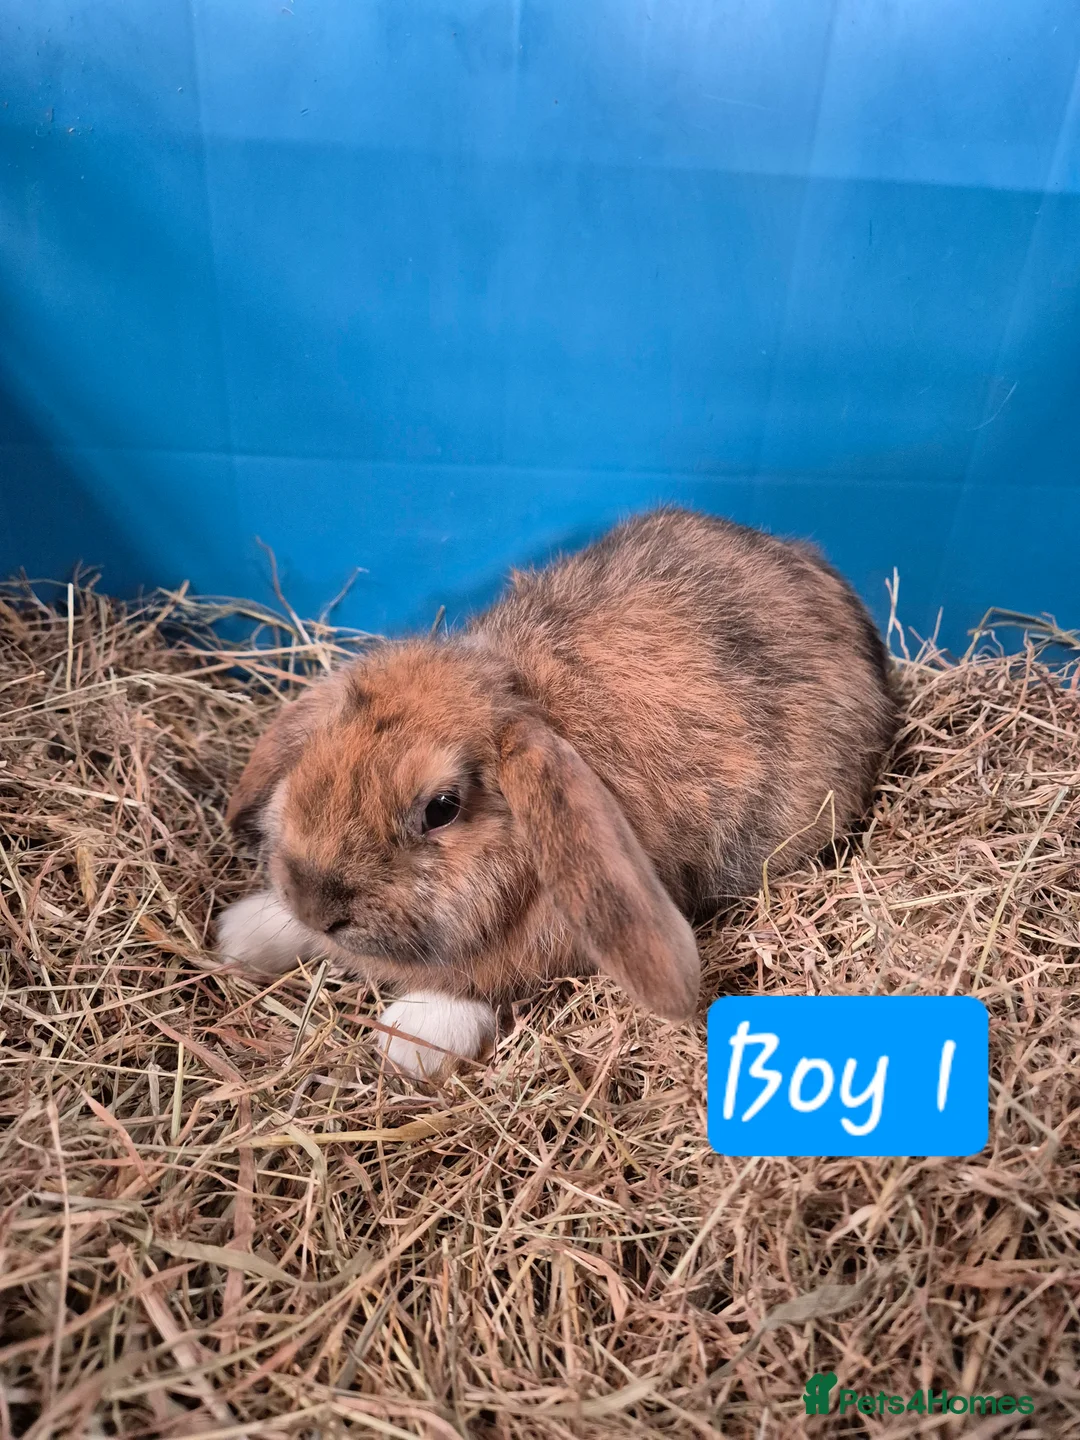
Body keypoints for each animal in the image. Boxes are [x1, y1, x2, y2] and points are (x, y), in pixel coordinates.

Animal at [217, 508, 897, 1077]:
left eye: (441, 808)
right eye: (314, 758)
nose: (316, 904)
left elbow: (482, 985)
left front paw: (408, 1041)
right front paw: (245, 934)